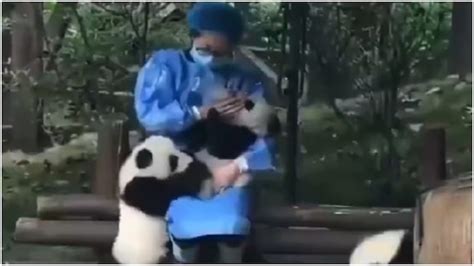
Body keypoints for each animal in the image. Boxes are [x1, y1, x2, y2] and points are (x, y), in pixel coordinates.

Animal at [112, 136, 210, 264]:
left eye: (177, 149)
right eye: (173, 160)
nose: (187, 155)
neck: (133, 170)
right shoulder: (139, 188)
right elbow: (168, 193)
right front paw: (197, 169)